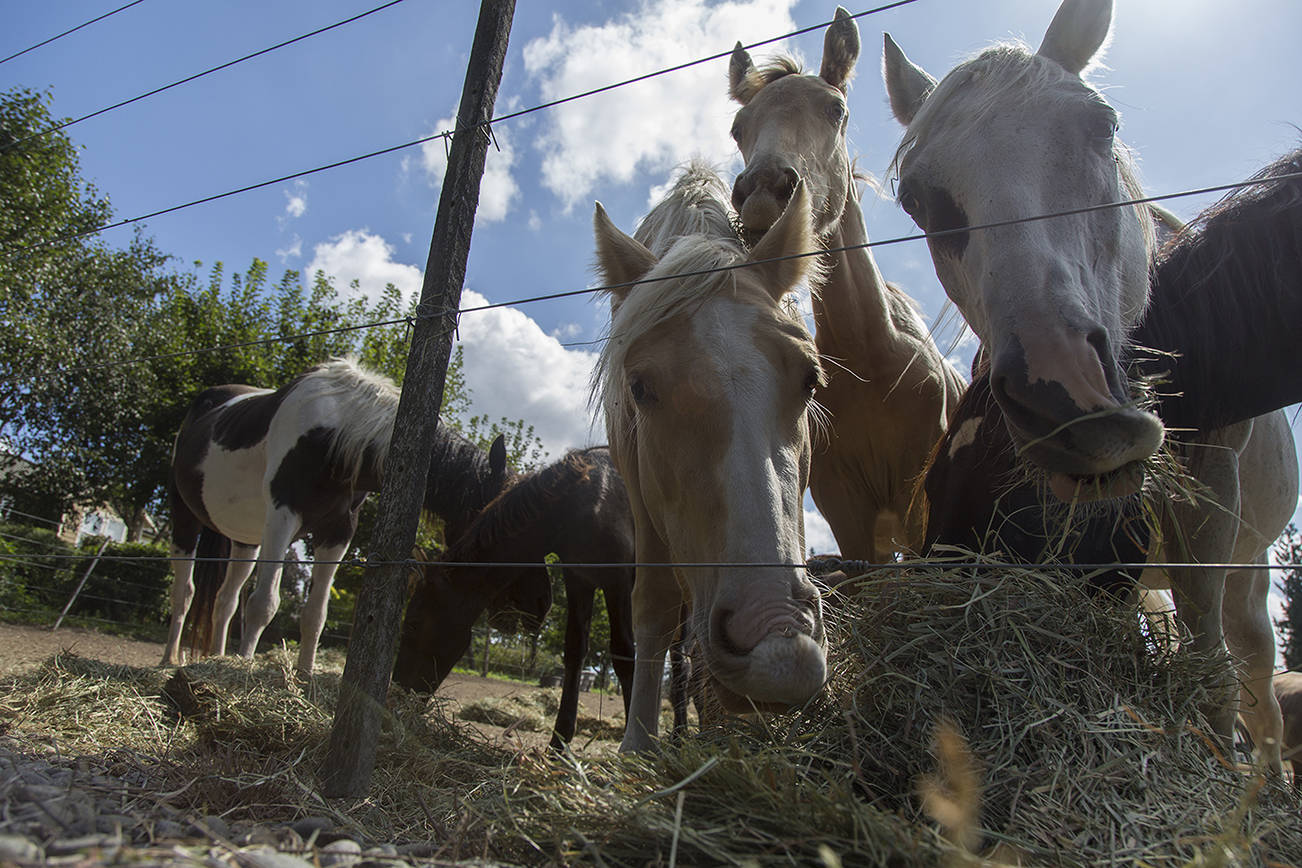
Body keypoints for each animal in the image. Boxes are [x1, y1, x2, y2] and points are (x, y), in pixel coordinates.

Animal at [161, 356, 507, 676]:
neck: (336, 431)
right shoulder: (282, 515)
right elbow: (263, 604)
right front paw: (244, 670)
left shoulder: (337, 531)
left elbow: (316, 614)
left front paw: (303, 678)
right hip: (185, 517)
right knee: (185, 592)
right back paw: (169, 659)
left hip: (245, 539)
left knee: (225, 600)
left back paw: (215, 659)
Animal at [390, 445, 635, 749]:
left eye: (411, 625)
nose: (397, 697)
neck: (589, 499)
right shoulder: (579, 580)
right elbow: (575, 651)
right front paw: (558, 745)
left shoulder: (618, 582)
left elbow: (624, 655)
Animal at [593, 162, 822, 754]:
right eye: (639, 387)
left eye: (810, 378)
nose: (775, 635)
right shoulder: (638, 488)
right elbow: (652, 605)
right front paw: (637, 745)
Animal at [734, 8, 968, 564]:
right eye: (738, 128)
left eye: (835, 109)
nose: (764, 190)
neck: (871, 358)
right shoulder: (845, 506)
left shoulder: (917, 493)